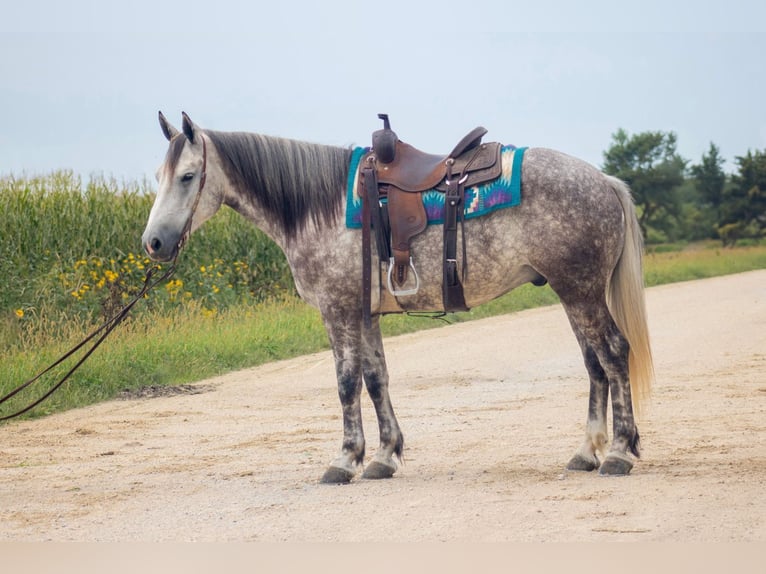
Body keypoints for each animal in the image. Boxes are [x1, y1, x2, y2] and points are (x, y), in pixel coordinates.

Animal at [142, 112, 653, 483]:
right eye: (158, 175)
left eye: (188, 176)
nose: (154, 243)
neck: (320, 208)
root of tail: (605, 181)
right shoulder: (366, 314)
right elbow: (376, 379)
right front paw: (385, 457)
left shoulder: (339, 312)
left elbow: (346, 383)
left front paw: (345, 460)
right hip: (572, 293)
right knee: (594, 364)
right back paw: (586, 452)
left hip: (582, 291)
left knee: (613, 354)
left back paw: (619, 453)